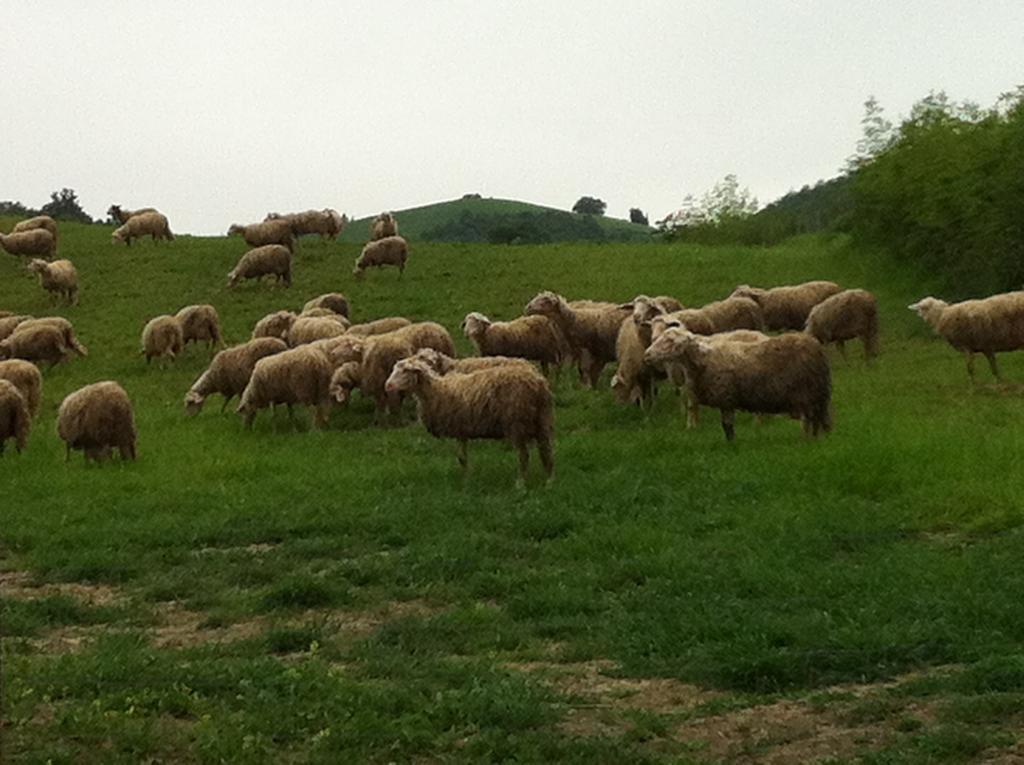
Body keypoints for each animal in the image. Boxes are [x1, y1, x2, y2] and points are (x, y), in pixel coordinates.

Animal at [385, 352, 552, 485]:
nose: (387, 385)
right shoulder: (462, 429)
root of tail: (537, 382)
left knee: (524, 455)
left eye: (405, 371)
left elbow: (462, 458)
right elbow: (462, 457)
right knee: (546, 450)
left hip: (516, 421)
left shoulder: (459, 427)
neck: (436, 391)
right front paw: (467, 478)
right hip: (542, 418)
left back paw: (521, 482)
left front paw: (466, 481)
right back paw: (549, 480)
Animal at [647, 329, 831, 442]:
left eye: (669, 341)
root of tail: (815, 345)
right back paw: (815, 439)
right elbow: (726, 426)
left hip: (806, 393)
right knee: (815, 421)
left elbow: (727, 426)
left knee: (807, 420)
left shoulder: (726, 398)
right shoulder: (724, 401)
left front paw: (731, 444)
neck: (704, 361)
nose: (647, 354)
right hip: (815, 395)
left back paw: (805, 440)